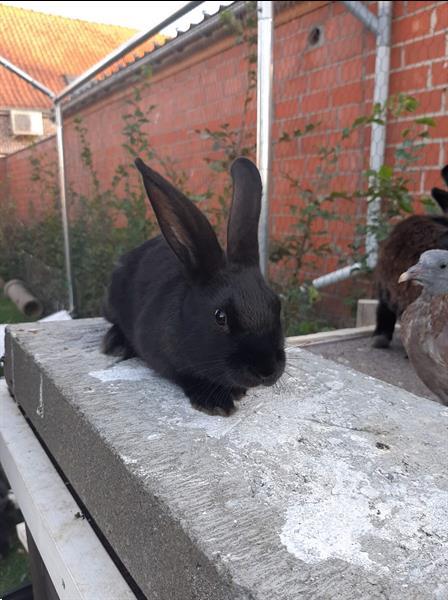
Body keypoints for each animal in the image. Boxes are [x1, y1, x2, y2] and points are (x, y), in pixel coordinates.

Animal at [103, 157, 286, 414]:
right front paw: (216, 403)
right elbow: (184, 375)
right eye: (220, 316)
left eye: (277, 305)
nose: (267, 370)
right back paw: (115, 344)